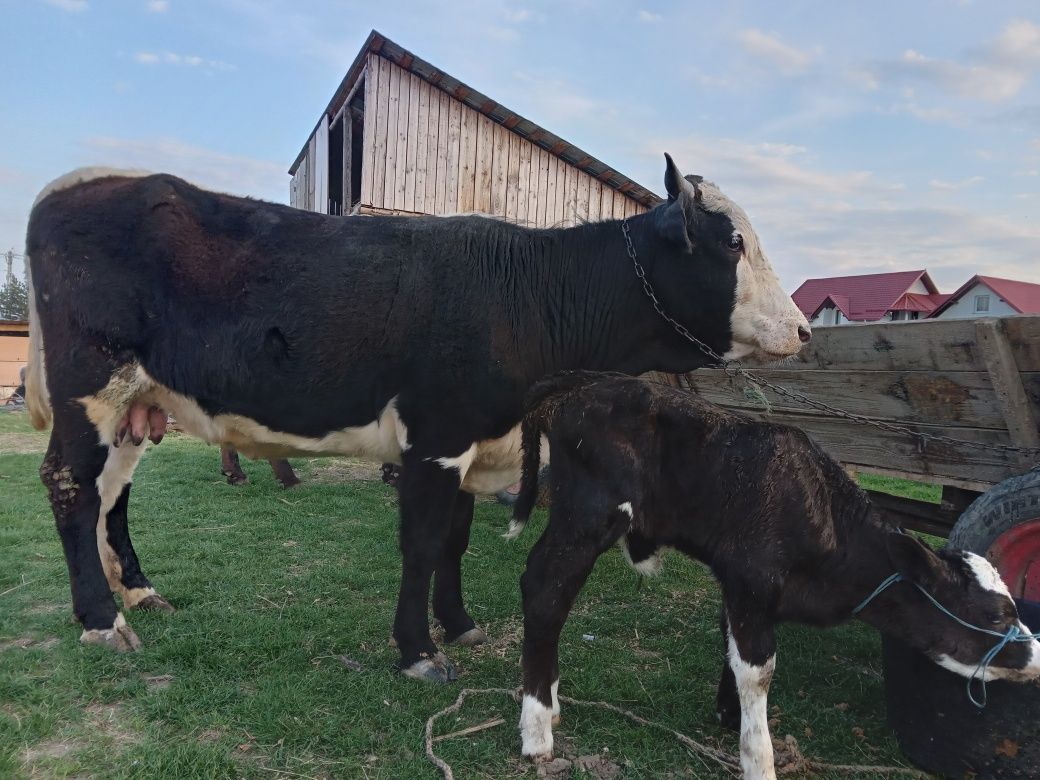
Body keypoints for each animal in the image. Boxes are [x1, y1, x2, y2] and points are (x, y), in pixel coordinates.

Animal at [20, 156, 807, 682]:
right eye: (733, 242)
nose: (802, 329)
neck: (523, 292)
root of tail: (85, 179)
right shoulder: (437, 434)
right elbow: (423, 544)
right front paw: (418, 650)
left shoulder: (472, 442)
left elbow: (453, 542)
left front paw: (457, 626)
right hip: (93, 387)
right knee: (69, 486)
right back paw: (101, 622)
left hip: (136, 403)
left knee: (111, 494)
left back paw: (136, 593)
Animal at [511, 372, 1040, 780]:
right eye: (996, 615)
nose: (1036, 654)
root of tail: (581, 386)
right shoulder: (752, 583)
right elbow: (758, 671)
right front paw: (758, 759)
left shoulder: (738, 586)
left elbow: (730, 644)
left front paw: (728, 716)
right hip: (587, 516)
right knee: (544, 591)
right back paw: (537, 729)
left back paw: (551, 704)